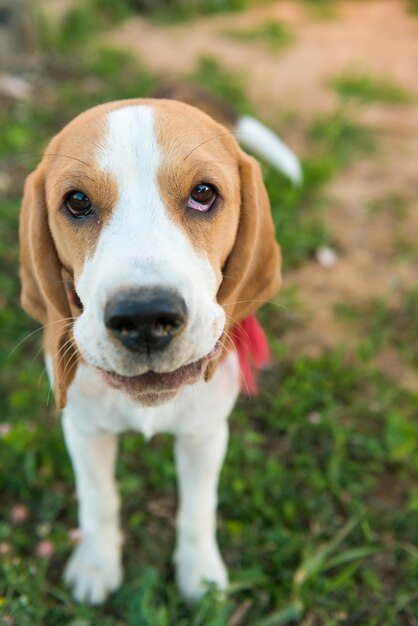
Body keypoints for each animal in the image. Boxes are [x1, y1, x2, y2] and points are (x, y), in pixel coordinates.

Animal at [19, 94, 300, 604]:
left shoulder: (205, 435)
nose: (146, 318)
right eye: (77, 202)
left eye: (204, 193)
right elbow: (99, 500)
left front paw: (200, 575)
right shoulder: (83, 430)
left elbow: (198, 508)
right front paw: (96, 565)